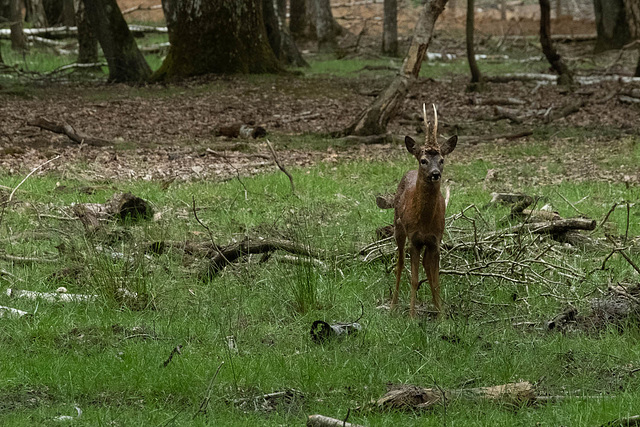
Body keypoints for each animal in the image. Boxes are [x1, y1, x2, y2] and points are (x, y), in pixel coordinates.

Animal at [390, 103, 456, 318]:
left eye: (442, 159)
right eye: (423, 160)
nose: (435, 174)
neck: (425, 221)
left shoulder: (436, 239)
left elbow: (435, 280)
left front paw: (442, 316)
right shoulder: (414, 239)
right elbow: (413, 278)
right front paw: (411, 316)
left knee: (427, 266)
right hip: (398, 228)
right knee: (400, 263)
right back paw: (393, 305)